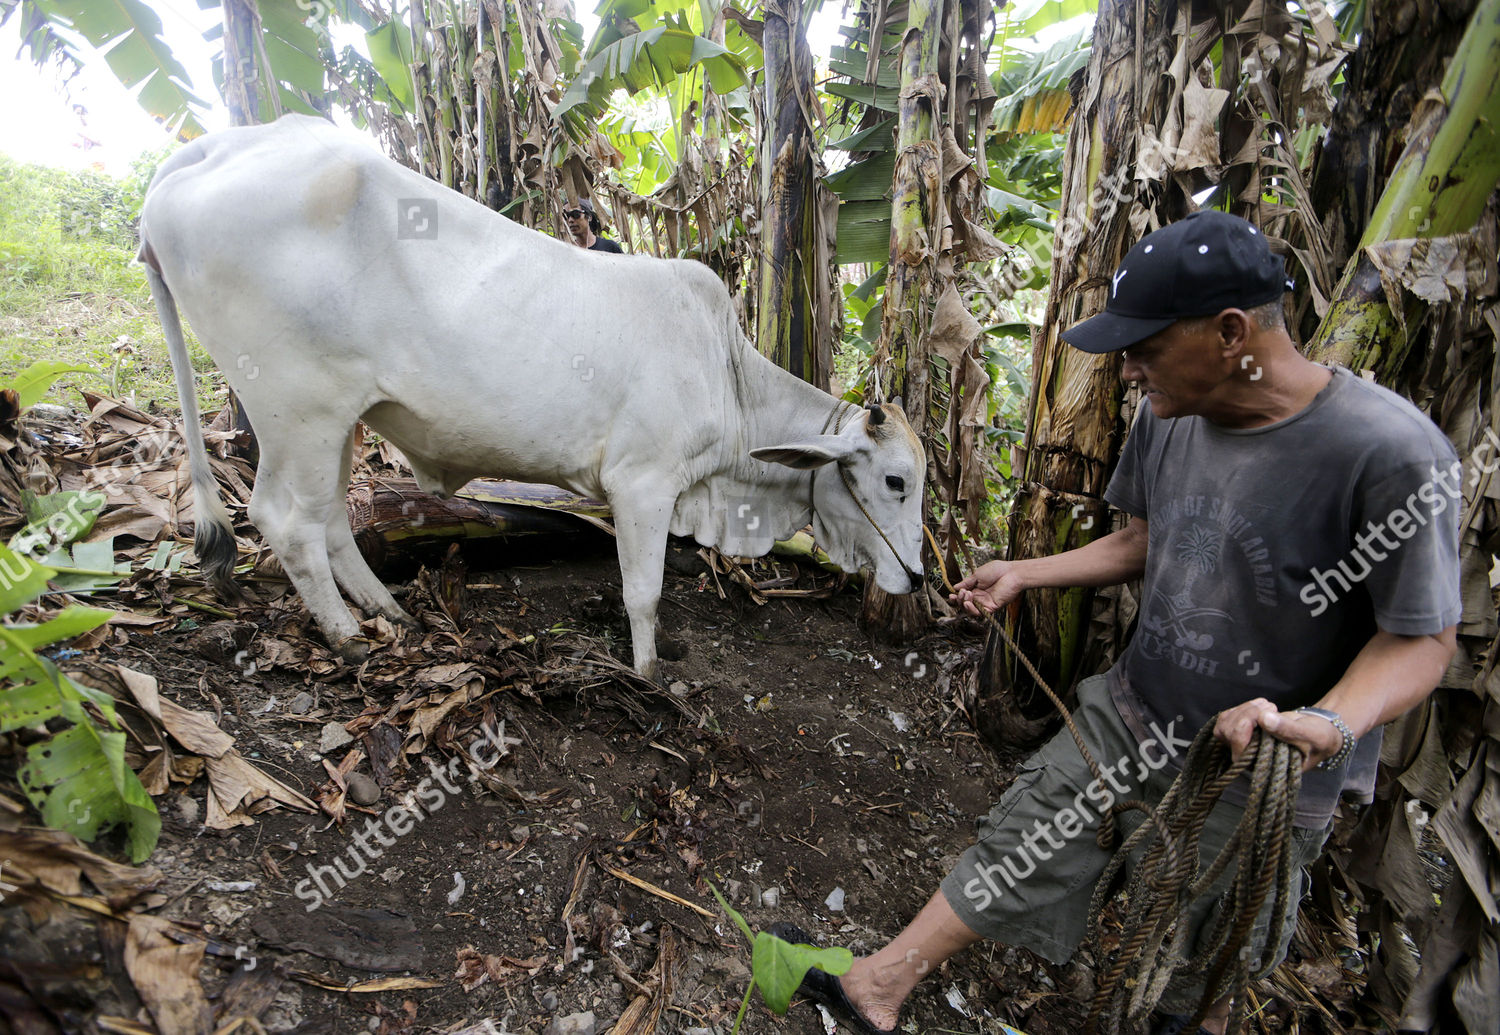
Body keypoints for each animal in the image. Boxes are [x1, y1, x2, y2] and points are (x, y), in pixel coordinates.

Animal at [139, 115, 926, 677]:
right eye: (896, 481)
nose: (917, 578)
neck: (728, 379)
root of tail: (208, 150)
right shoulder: (642, 482)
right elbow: (643, 592)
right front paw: (648, 672)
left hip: (341, 418)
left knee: (328, 516)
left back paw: (388, 612)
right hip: (296, 407)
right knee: (284, 519)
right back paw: (346, 637)